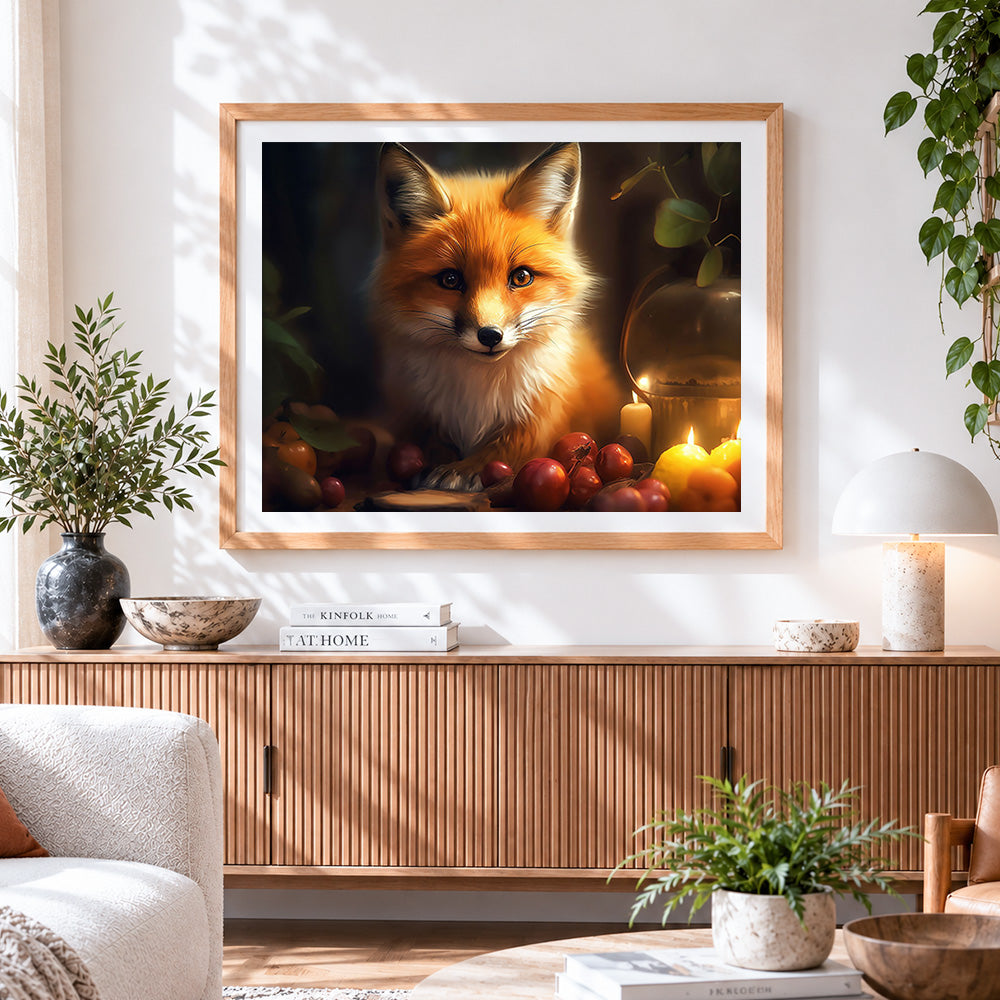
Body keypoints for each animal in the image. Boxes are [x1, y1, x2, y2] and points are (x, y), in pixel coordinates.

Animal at [369, 140, 619, 491]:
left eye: (521, 277)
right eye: (450, 279)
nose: (489, 335)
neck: (478, 393)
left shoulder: (544, 412)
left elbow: (511, 447)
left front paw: (465, 469)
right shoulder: (416, 410)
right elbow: (430, 441)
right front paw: (436, 464)